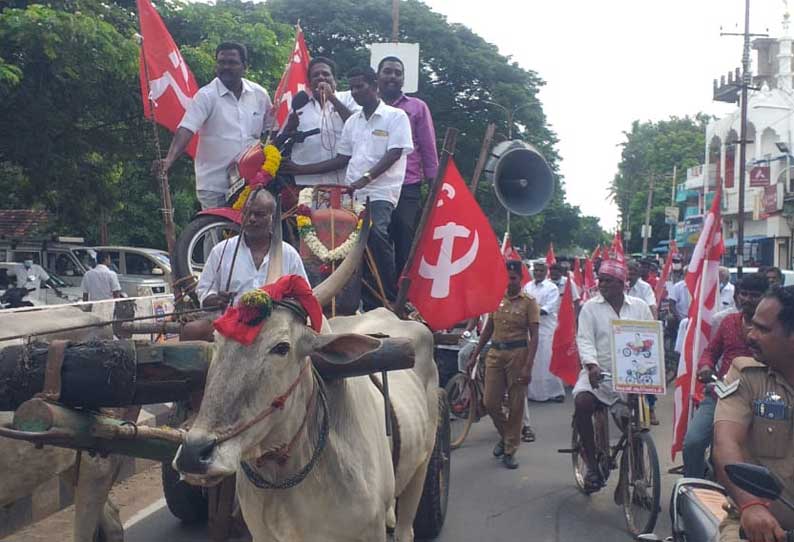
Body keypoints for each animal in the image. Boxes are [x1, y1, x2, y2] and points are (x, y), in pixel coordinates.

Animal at [172, 218, 440, 542]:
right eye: (216, 339)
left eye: (281, 347)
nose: (193, 454)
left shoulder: (368, 531)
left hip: (423, 463)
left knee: (406, 526)